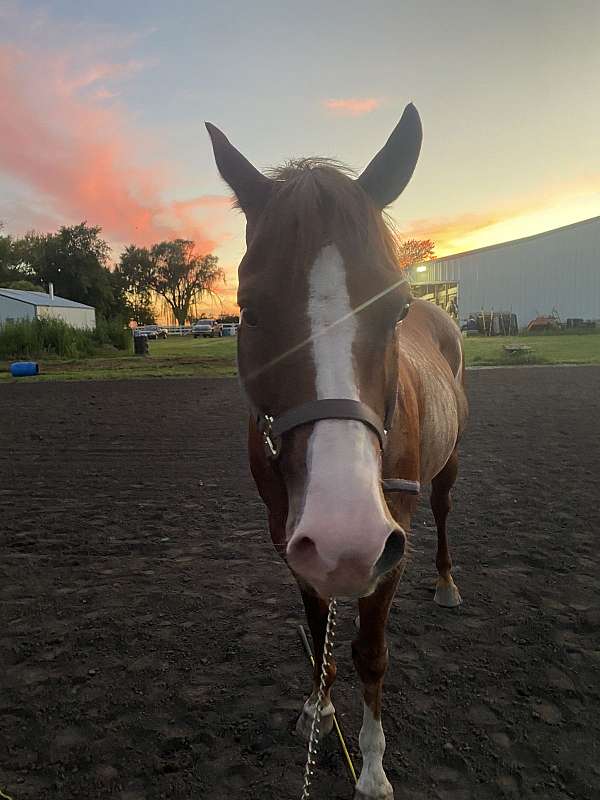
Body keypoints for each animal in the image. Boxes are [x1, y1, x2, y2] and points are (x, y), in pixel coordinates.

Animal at [207, 103, 468, 796]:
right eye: (247, 310)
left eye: (396, 305)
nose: (347, 538)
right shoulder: (290, 535)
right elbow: (316, 623)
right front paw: (318, 709)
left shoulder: (391, 541)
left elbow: (370, 655)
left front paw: (372, 769)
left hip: (446, 471)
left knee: (445, 513)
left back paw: (447, 583)